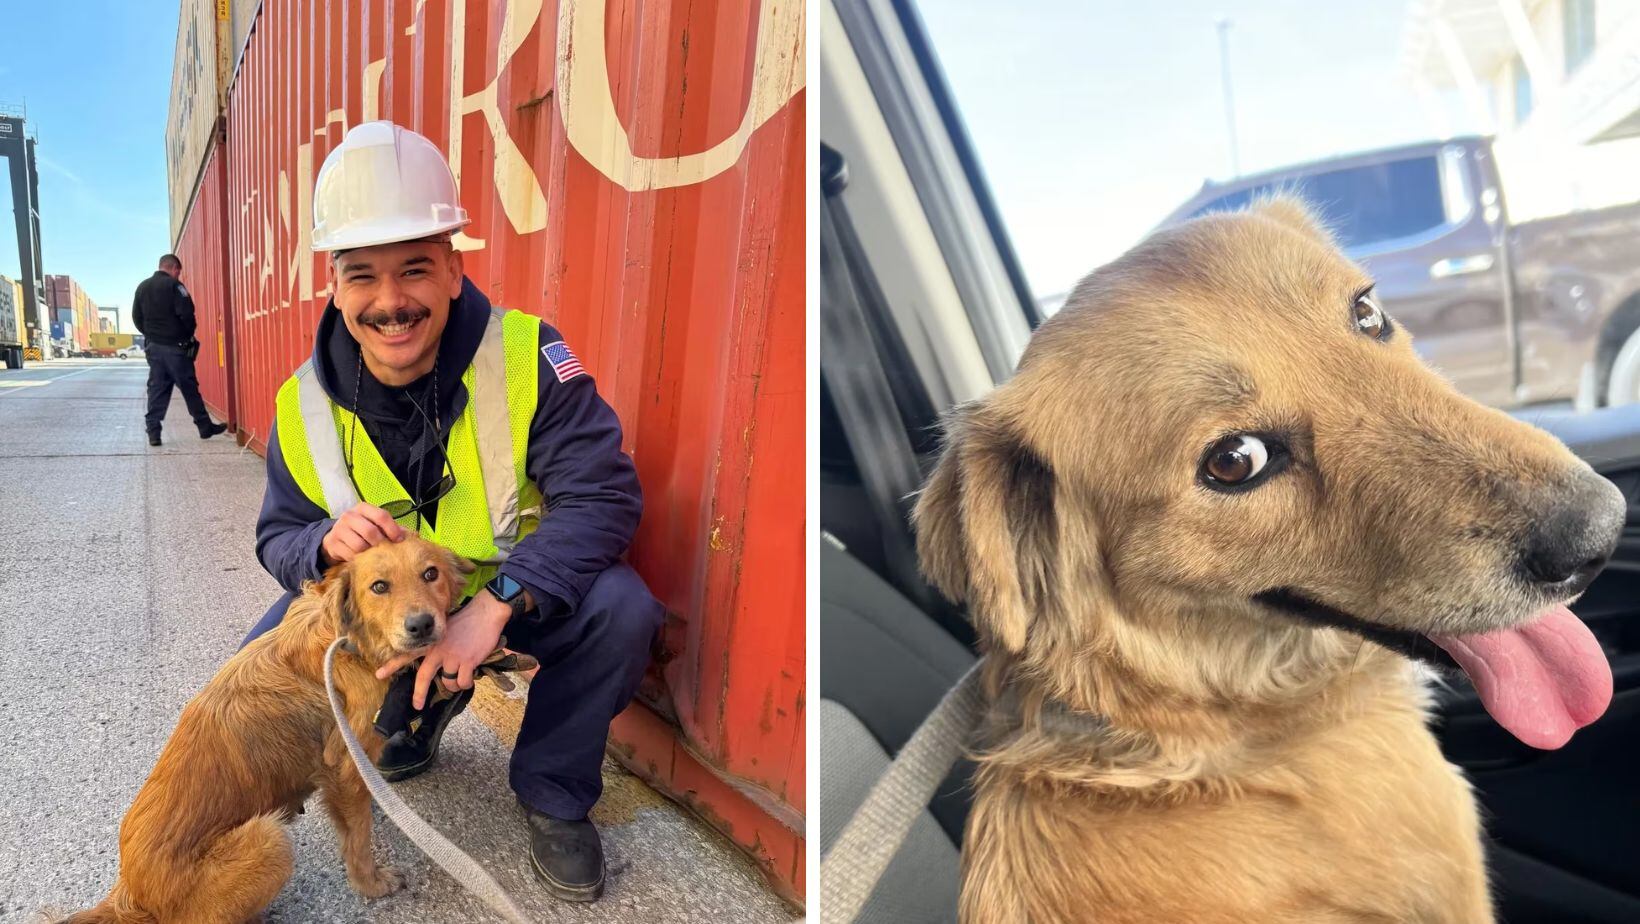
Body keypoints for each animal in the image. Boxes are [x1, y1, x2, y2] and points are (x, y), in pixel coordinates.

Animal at [57, 535, 469, 924]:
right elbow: (358, 838)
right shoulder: (347, 768)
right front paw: (371, 883)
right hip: (269, 839)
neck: (346, 642)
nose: (421, 625)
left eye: (430, 574)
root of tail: (132, 894)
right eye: (379, 586)